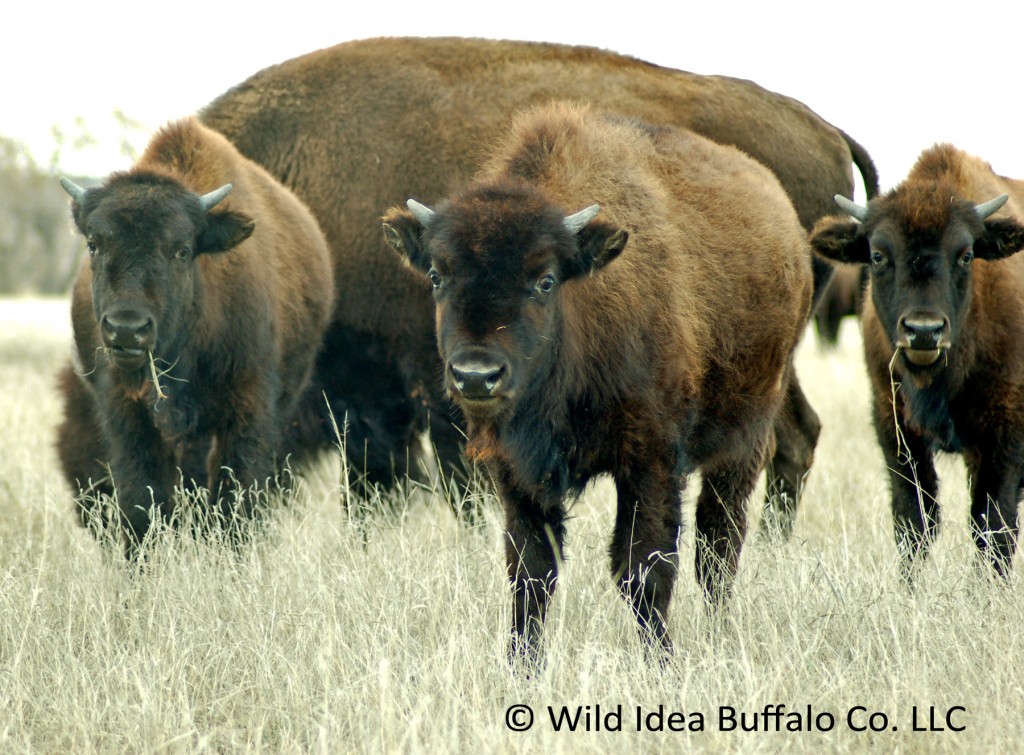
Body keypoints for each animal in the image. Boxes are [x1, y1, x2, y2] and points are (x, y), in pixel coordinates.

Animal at [57, 117, 335, 558]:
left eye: (182, 249)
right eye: (94, 244)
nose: (127, 328)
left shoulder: (247, 409)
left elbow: (234, 500)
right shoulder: (125, 414)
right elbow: (142, 501)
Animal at [382, 103, 813, 661]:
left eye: (544, 281)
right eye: (437, 274)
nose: (476, 376)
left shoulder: (651, 458)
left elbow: (644, 567)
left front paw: (661, 661)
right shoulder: (516, 472)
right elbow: (531, 570)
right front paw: (522, 665)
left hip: (746, 437)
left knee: (719, 544)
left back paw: (720, 629)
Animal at [810, 143, 1024, 580]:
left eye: (966, 254)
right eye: (877, 254)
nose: (924, 331)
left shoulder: (1003, 433)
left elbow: (993, 523)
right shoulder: (895, 426)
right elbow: (914, 519)